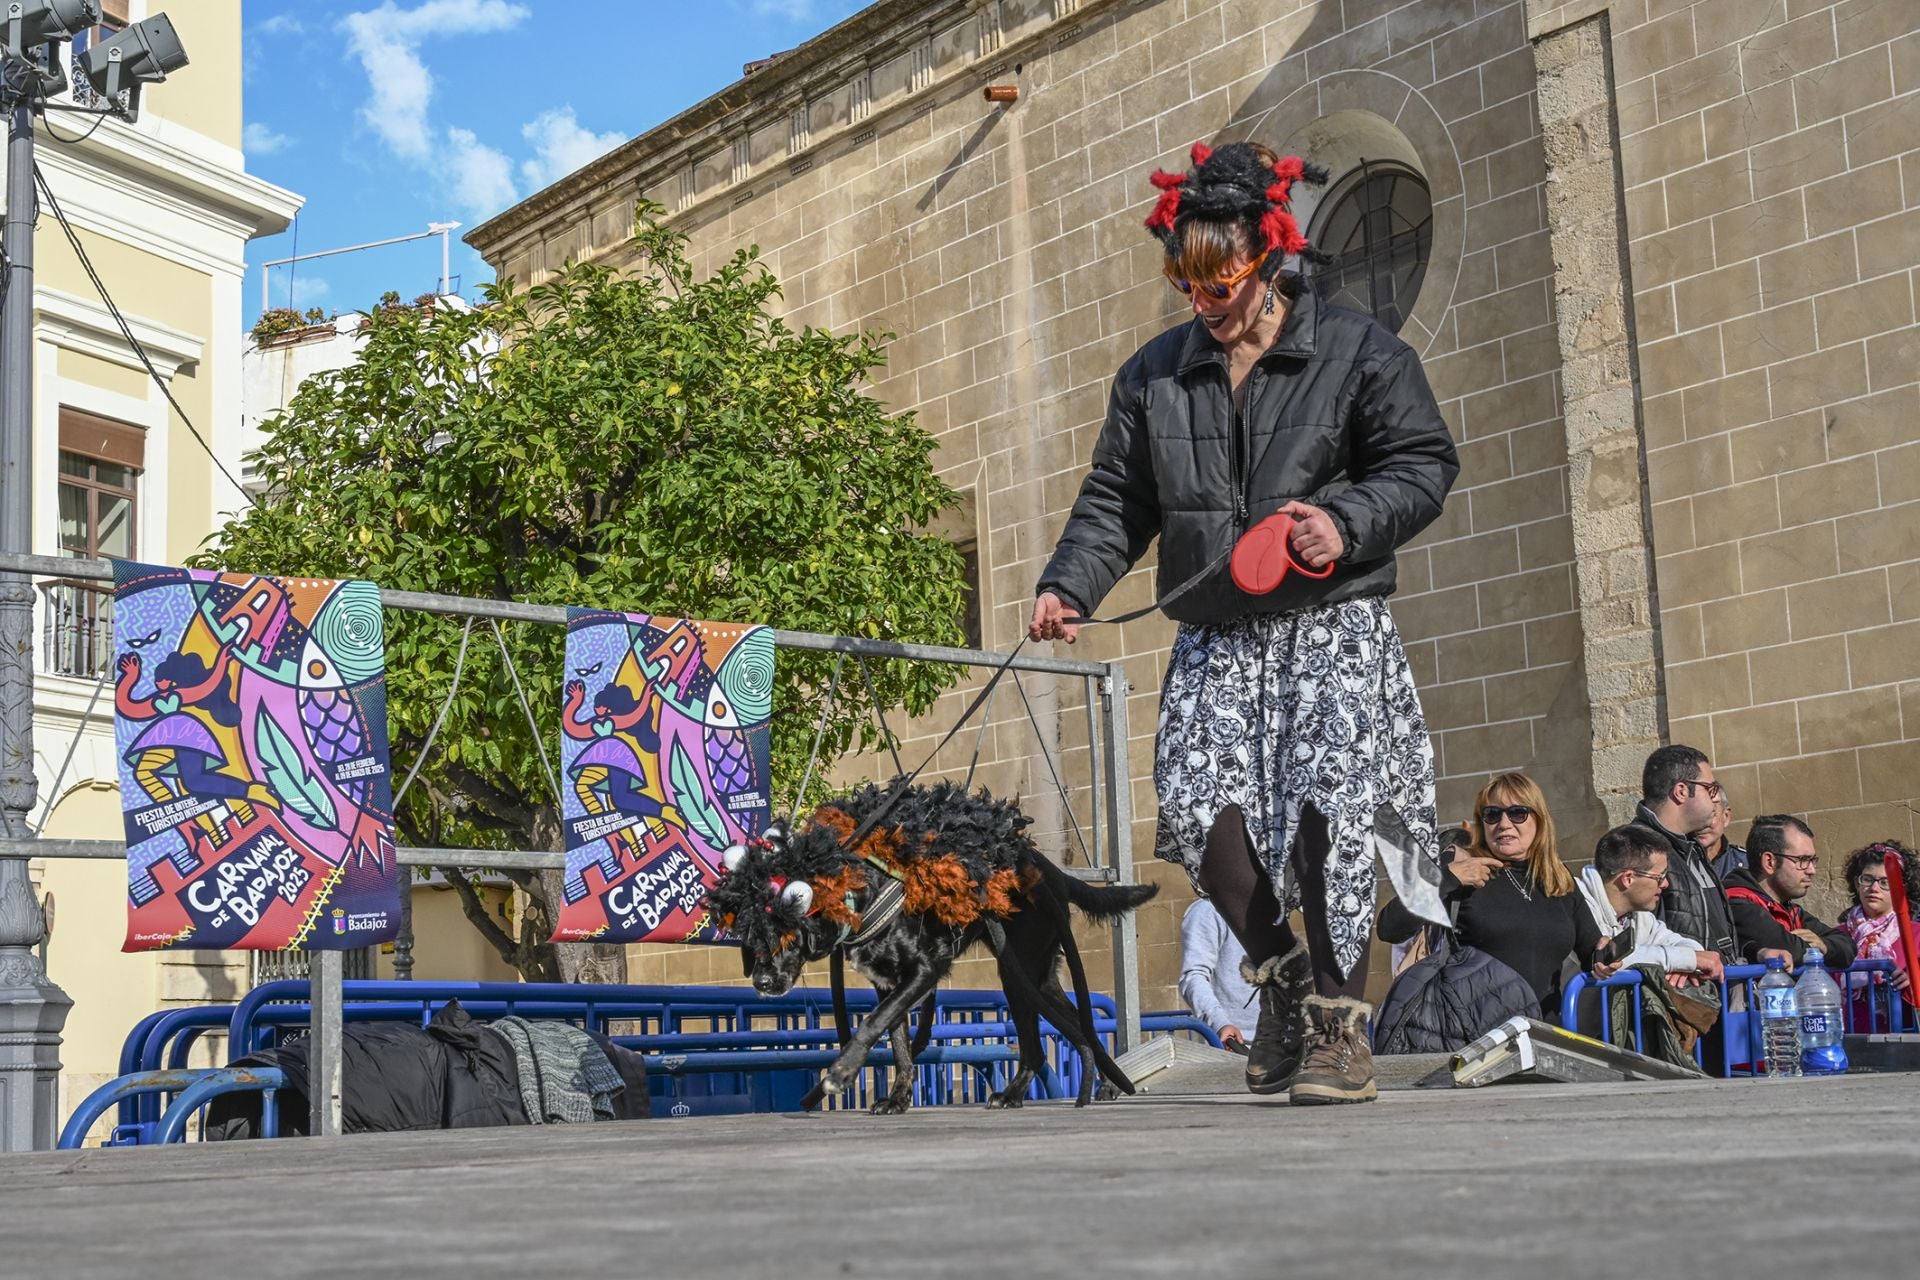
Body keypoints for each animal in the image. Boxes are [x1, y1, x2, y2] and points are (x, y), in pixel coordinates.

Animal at [706, 775, 1152, 1113]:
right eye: (748, 936)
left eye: (783, 932)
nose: (761, 983)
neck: (861, 893)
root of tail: (1049, 870)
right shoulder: (886, 983)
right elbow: (899, 1043)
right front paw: (898, 1098)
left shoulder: (925, 970)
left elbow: (872, 1023)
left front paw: (840, 1073)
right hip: (1034, 975)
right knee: (1072, 1027)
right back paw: (1086, 1086)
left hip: (1018, 968)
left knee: (1048, 1040)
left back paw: (1047, 1091)